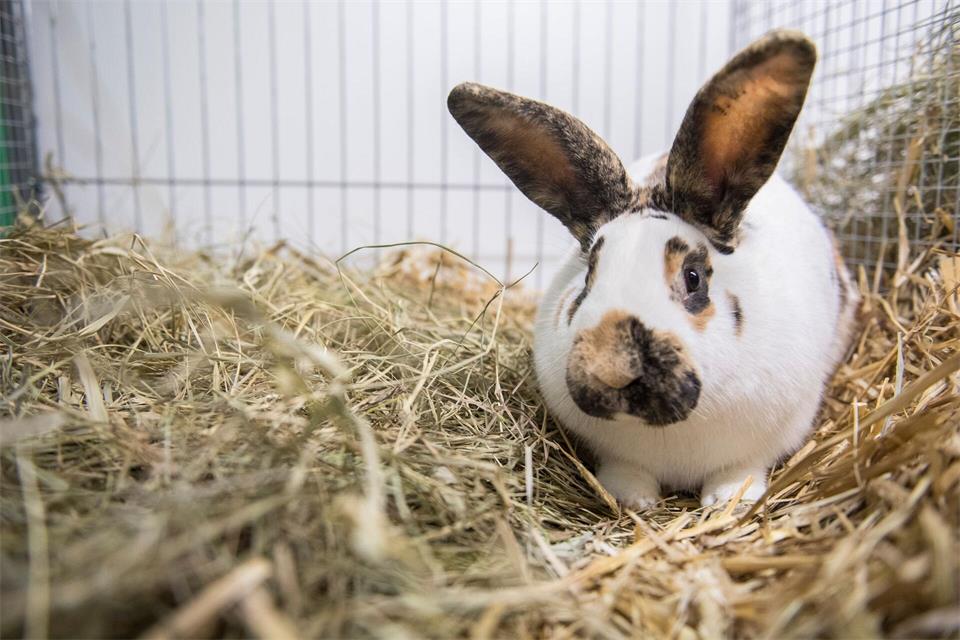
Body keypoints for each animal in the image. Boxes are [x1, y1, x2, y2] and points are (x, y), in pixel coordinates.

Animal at [447, 30, 859, 509]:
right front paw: (634, 499)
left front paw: (727, 500)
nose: (610, 368)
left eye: (693, 277)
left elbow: (740, 469)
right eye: (589, 274)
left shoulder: (766, 439)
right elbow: (627, 472)